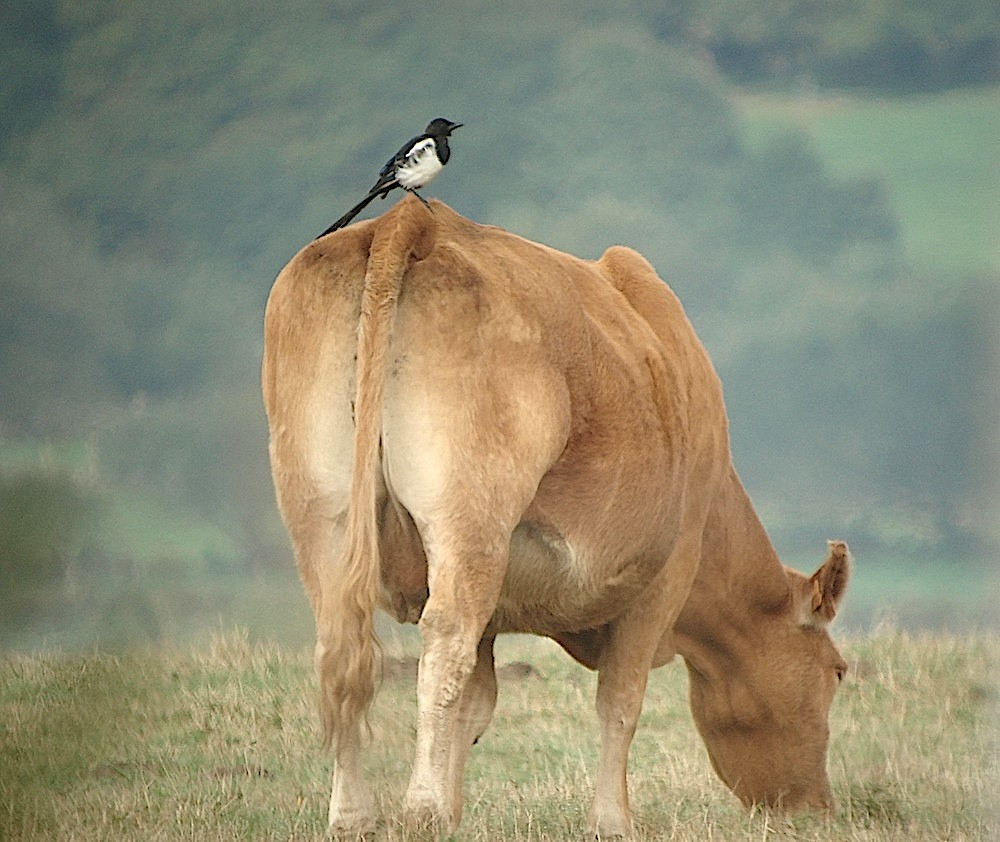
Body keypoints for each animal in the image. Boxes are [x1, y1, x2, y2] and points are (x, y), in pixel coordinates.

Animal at [262, 197, 848, 832]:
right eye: (838, 672)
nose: (818, 809)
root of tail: (411, 220)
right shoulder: (667, 572)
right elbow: (621, 699)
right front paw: (611, 822)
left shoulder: (497, 611)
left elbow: (476, 704)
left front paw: (456, 810)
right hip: (470, 516)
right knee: (441, 646)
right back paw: (419, 810)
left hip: (321, 510)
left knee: (341, 650)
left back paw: (353, 816)